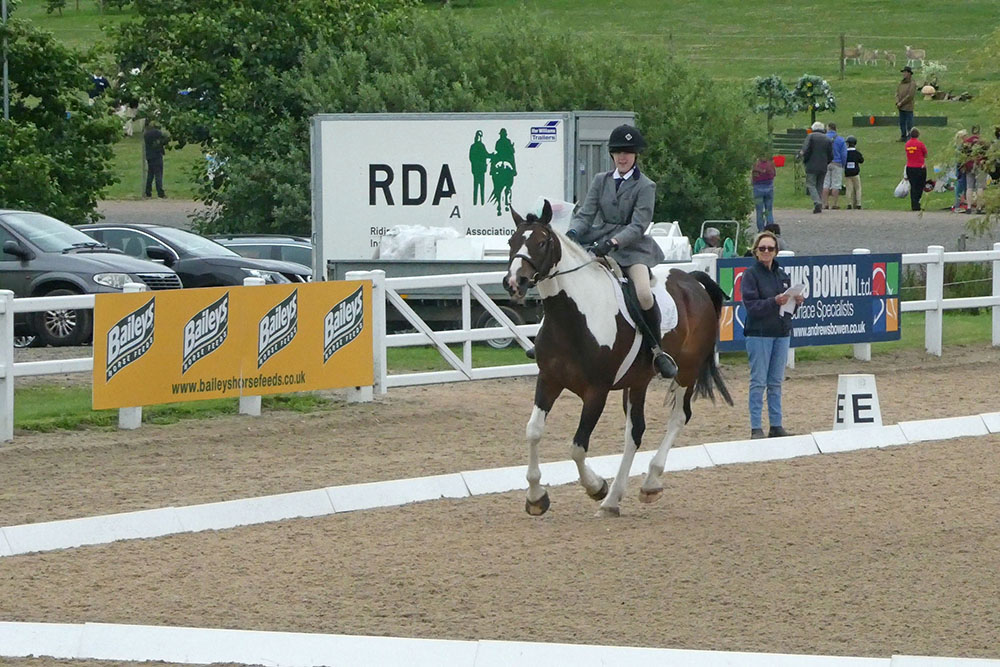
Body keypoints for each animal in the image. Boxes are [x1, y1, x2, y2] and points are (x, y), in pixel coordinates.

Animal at [504, 200, 733, 517]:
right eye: (511, 242)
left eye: (542, 242)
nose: (515, 282)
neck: (571, 317)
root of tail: (692, 280)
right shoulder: (549, 380)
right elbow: (534, 431)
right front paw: (537, 497)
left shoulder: (596, 391)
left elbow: (577, 446)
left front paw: (595, 487)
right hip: (637, 382)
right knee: (634, 432)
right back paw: (613, 500)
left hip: (686, 371)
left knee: (678, 417)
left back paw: (649, 483)